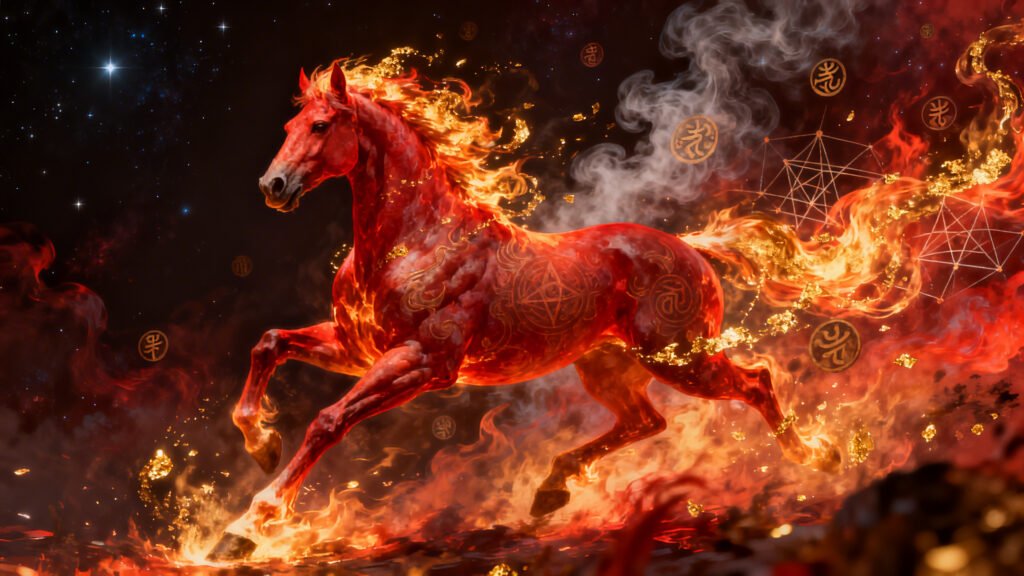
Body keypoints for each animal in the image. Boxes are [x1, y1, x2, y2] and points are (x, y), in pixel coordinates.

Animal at [209, 60, 839, 559]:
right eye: (288, 127)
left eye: (320, 126)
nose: (273, 185)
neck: (414, 240)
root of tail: (694, 249)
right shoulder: (356, 347)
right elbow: (269, 342)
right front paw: (261, 443)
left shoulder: (423, 362)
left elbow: (328, 421)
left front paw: (245, 527)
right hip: (609, 366)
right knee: (646, 421)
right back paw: (550, 490)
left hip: (682, 359)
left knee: (755, 382)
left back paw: (817, 455)